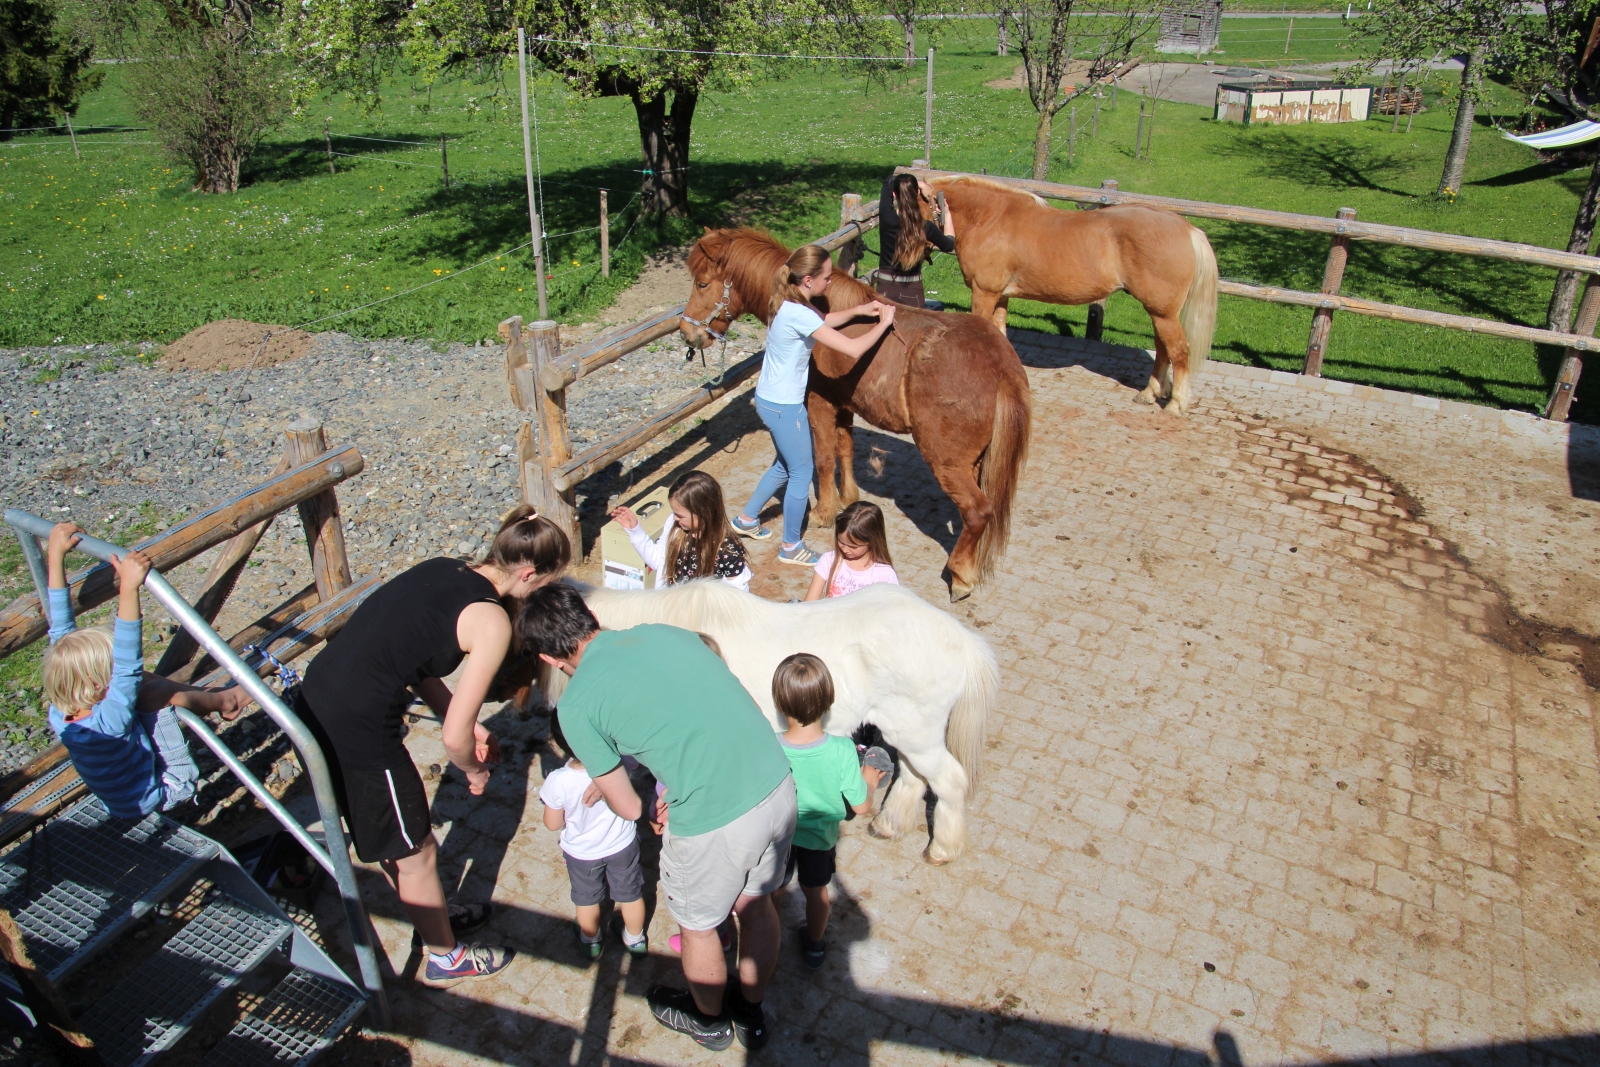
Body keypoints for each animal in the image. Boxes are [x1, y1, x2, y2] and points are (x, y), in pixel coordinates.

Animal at [540, 579, 998, 863]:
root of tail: (960, 638)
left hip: (916, 731)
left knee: (948, 781)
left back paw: (942, 849)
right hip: (906, 731)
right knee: (914, 776)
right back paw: (888, 825)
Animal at [678, 227, 1030, 601]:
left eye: (702, 283)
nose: (688, 334)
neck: (819, 312)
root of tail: (1002, 366)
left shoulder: (817, 404)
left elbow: (822, 459)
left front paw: (823, 511)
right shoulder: (844, 406)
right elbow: (845, 449)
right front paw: (848, 499)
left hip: (947, 462)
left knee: (978, 511)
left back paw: (961, 575)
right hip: (973, 461)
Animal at [934, 175, 1216, 412]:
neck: (989, 218)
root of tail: (1188, 229)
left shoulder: (984, 292)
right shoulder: (1001, 295)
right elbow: (999, 333)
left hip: (1163, 312)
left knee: (1179, 350)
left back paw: (1176, 404)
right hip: (1159, 311)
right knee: (1162, 347)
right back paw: (1149, 393)